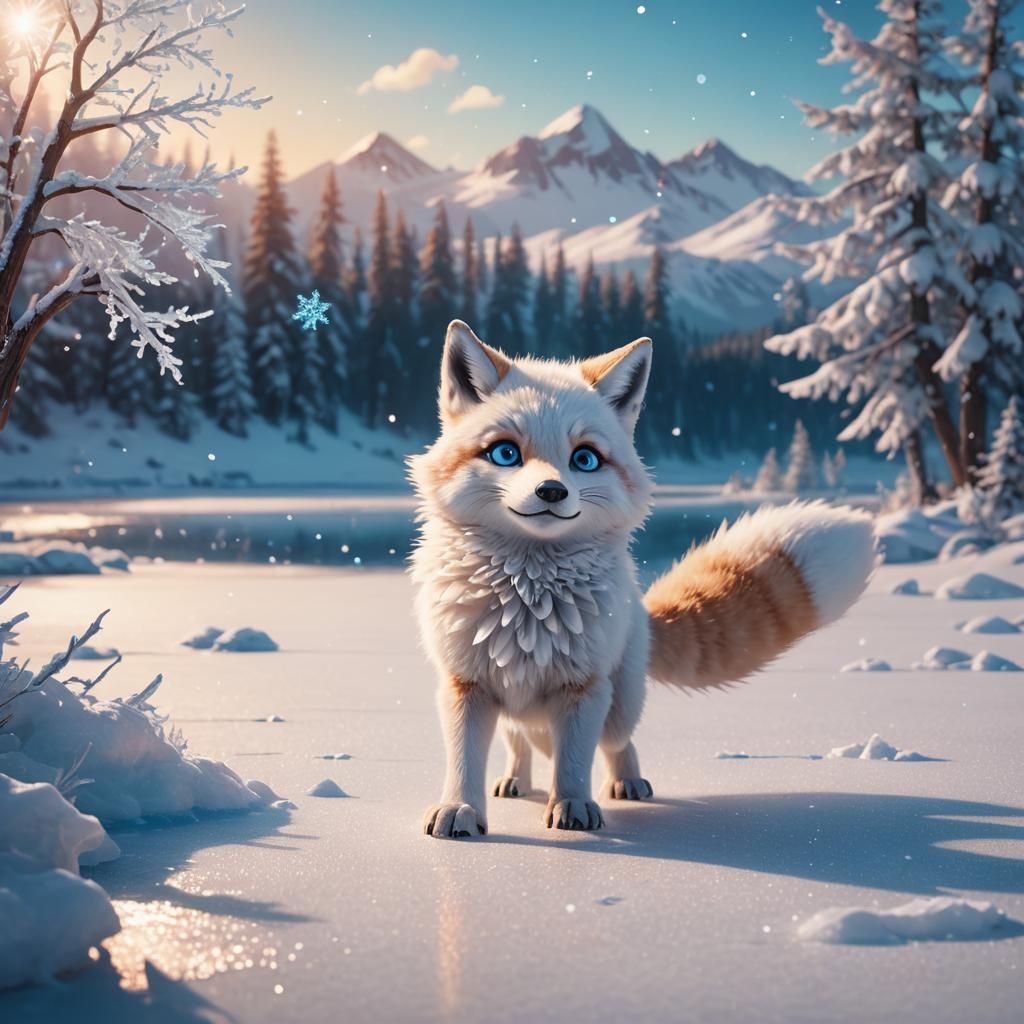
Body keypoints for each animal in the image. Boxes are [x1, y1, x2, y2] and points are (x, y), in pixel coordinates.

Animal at [409, 320, 876, 839]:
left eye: (585, 459)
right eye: (506, 453)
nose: (551, 491)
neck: (527, 604)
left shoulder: (583, 688)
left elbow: (573, 765)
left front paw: (573, 808)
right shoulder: (466, 685)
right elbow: (464, 762)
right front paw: (460, 811)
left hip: (617, 705)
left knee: (616, 744)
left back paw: (626, 783)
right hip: (521, 711)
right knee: (520, 743)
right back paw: (515, 780)